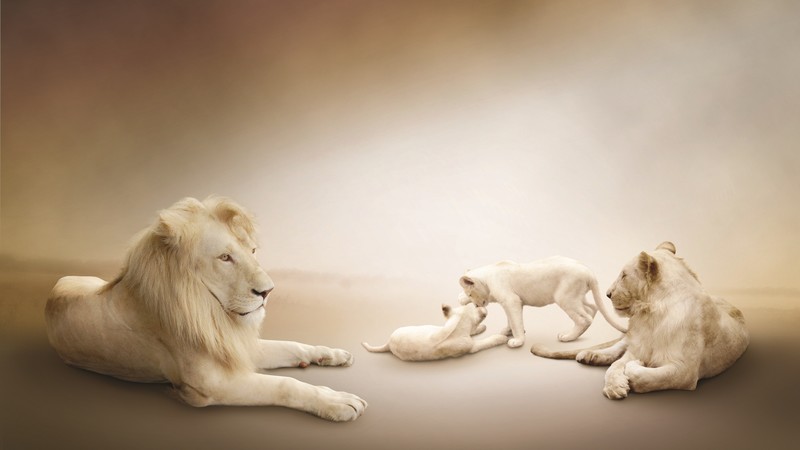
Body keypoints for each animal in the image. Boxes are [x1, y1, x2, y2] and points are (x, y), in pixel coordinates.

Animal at [45, 197, 367, 421]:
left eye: (252, 251)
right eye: (225, 257)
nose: (268, 291)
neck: (213, 314)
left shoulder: (234, 346)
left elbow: (291, 345)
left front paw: (331, 354)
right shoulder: (212, 384)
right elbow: (284, 385)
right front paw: (338, 402)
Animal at [361, 303, 508, 361]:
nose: (480, 305)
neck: (456, 326)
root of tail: (388, 343)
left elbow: (474, 331)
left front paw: (481, 328)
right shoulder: (471, 347)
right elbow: (487, 341)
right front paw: (502, 338)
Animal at [459, 257, 628, 348]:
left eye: (470, 293)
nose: (477, 305)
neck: (488, 278)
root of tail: (589, 271)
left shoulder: (511, 300)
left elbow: (515, 321)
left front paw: (517, 341)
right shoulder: (512, 302)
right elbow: (511, 320)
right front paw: (507, 331)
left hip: (565, 298)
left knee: (584, 318)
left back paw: (568, 337)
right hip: (577, 297)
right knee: (592, 308)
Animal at [530, 242, 750, 399]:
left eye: (624, 275)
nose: (608, 294)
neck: (651, 315)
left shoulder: (685, 371)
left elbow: (648, 376)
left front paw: (635, 369)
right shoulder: (637, 346)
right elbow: (615, 366)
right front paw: (615, 387)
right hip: (628, 338)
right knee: (617, 348)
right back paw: (590, 355)